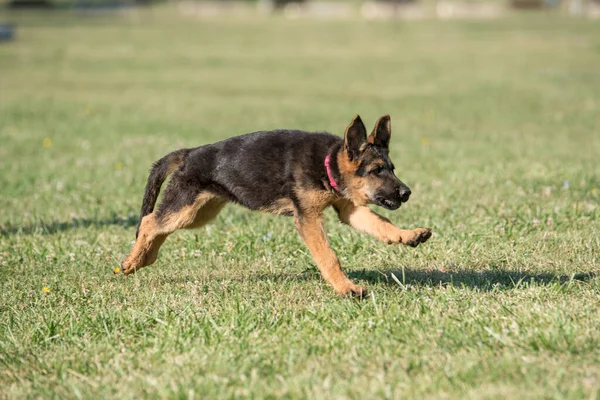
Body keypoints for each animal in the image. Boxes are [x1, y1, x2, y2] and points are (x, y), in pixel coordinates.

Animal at [123, 115, 432, 296]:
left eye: (392, 168)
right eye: (377, 170)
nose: (406, 193)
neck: (327, 164)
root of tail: (189, 154)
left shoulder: (349, 210)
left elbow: (382, 224)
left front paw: (409, 235)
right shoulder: (308, 218)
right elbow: (328, 256)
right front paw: (347, 288)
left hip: (198, 214)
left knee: (158, 227)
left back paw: (145, 259)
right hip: (185, 207)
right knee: (150, 222)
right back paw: (132, 261)